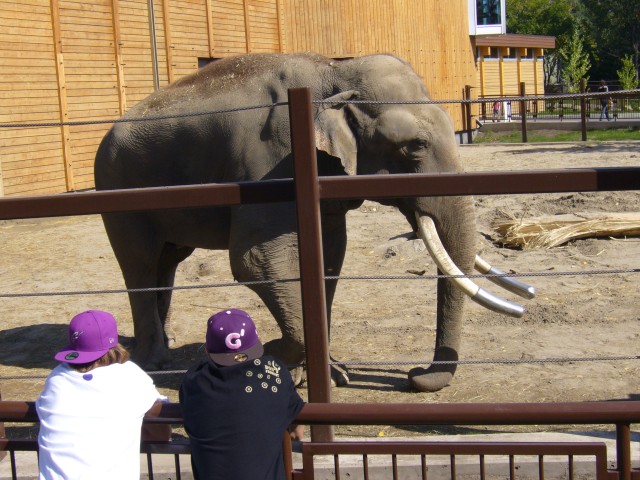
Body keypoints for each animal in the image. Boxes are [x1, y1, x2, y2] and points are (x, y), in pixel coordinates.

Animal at [94, 52, 536, 392]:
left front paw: (330, 374)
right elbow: (255, 261)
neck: (334, 72)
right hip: (118, 189)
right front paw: (269, 352)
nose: (415, 375)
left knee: (167, 263)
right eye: (415, 146)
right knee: (140, 263)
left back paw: (167, 348)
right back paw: (152, 362)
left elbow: (329, 257)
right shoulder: (270, 165)